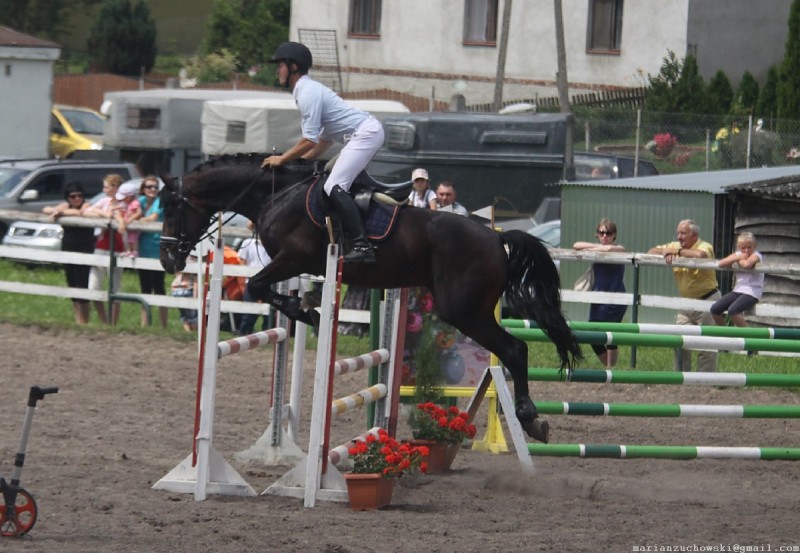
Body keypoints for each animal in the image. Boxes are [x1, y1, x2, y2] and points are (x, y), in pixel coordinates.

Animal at [158, 154, 582, 443]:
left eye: (171, 206)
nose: (167, 259)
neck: (276, 194)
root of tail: (497, 237)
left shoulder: (293, 258)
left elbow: (258, 287)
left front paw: (309, 313)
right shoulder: (293, 264)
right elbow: (265, 289)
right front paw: (307, 307)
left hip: (463, 310)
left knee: (514, 350)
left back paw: (530, 418)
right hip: (468, 309)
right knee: (513, 350)